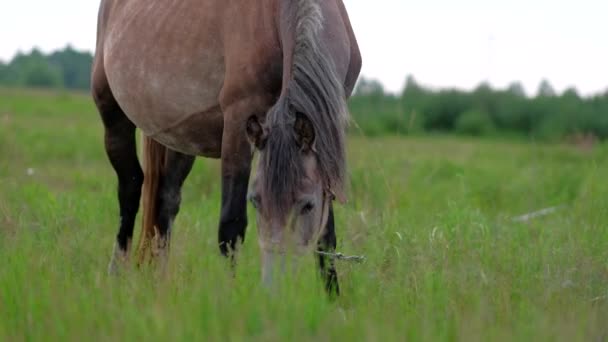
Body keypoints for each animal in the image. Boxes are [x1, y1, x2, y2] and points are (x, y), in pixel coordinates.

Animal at [91, 0, 360, 296]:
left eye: (307, 205)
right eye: (255, 201)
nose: (274, 292)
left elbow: (326, 236)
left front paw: (332, 297)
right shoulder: (238, 122)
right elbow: (231, 225)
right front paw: (229, 297)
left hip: (180, 137)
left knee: (166, 201)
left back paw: (161, 283)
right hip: (112, 114)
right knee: (130, 187)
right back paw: (116, 273)